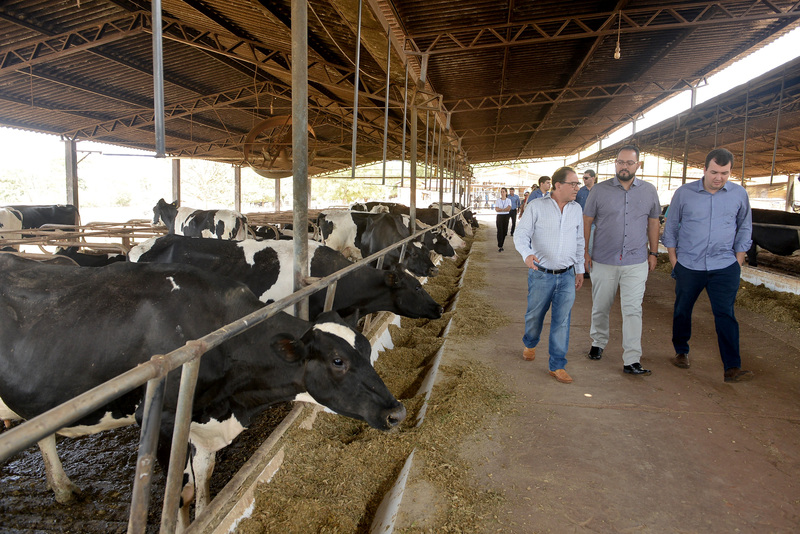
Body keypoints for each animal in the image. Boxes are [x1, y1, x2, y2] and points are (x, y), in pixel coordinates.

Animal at [0, 255, 405, 524]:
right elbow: (179, 494)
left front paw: (205, 512)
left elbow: (203, 477)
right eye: (338, 361)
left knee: (43, 434)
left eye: (365, 348)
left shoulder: (206, 418)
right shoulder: (163, 419)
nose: (397, 411)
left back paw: (63, 489)